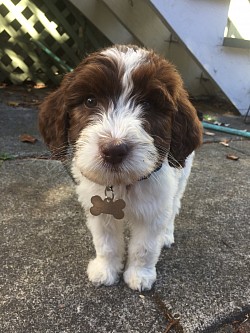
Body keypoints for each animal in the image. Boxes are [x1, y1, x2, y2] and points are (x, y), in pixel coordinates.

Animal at [39, 44, 203, 290]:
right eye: (90, 101)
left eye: (148, 105)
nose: (114, 150)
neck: (122, 184)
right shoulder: (98, 210)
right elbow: (106, 243)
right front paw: (105, 270)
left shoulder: (153, 209)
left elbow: (144, 247)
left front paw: (140, 275)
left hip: (182, 176)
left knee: (174, 206)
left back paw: (167, 235)